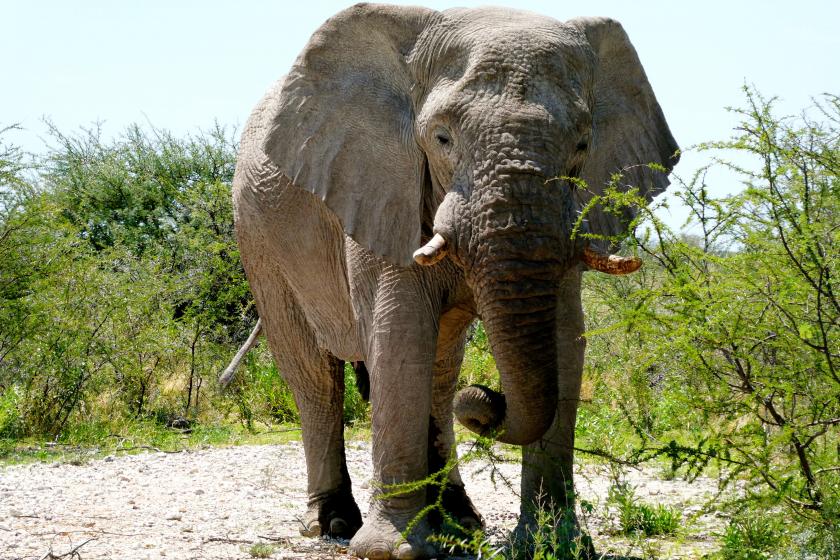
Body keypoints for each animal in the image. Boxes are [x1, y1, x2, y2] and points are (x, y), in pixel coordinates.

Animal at [233, 5, 680, 560]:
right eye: (443, 139)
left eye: (582, 145)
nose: (486, 400)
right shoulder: (384, 186)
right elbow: (399, 336)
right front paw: (390, 551)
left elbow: (565, 340)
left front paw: (557, 546)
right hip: (258, 235)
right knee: (313, 375)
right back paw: (334, 523)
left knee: (442, 374)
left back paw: (461, 521)